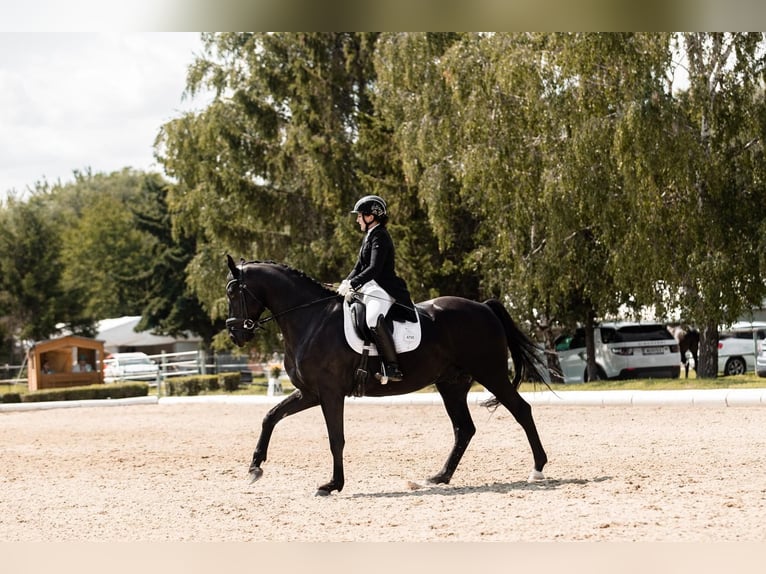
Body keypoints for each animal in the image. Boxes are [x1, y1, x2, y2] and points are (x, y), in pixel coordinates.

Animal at [225, 254, 548, 498]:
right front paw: (255, 467)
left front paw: (332, 485)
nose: (235, 334)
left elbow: (336, 438)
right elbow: (270, 416)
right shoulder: (310, 393)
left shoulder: (330, 393)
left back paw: (538, 469)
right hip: (451, 384)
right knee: (464, 429)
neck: (311, 320)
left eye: (232, 292)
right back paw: (439, 477)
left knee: (521, 410)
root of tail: (482, 307)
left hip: (491, 373)